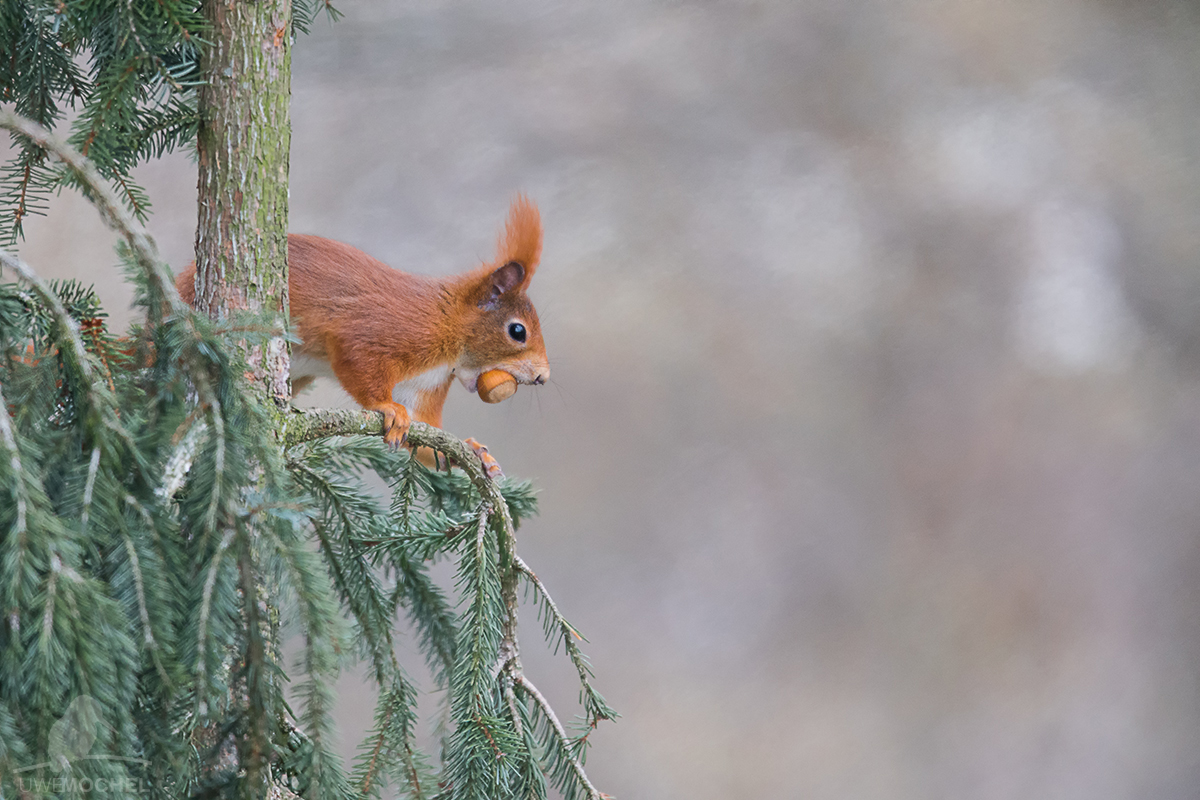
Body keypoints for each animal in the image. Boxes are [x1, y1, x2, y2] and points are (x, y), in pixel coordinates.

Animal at [175, 197, 549, 472]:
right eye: (517, 331)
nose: (543, 377)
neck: (450, 331)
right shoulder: (387, 330)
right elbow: (358, 360)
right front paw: (388, 409)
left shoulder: (424, 386)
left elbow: (427, 439)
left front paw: (472, 451)